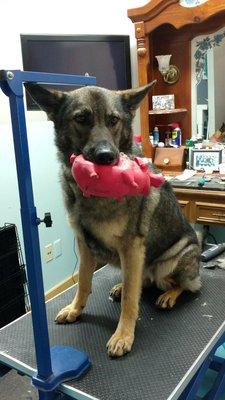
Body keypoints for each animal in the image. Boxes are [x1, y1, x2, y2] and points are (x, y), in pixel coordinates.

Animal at [25, 80, 201, 356]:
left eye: (113, 120)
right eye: (81, 118)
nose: (107, 156)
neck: (94, 190)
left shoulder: (132, 247)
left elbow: (130, 300)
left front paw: (123, 335)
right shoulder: (85, 245)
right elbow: (83, 282)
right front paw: (75, 309)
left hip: (172, 260)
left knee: (186, 284)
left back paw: (169, 295)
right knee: (140, 281)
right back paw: (122, 286)